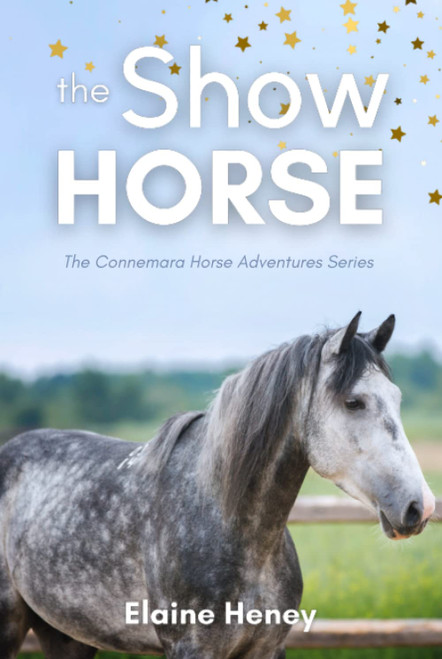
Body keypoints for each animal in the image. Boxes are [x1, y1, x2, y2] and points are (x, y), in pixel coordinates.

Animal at [0, 313, 435, 659]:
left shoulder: (267, 648)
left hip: (66, 634)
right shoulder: (191, 649)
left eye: (397, 398)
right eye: (353, 402)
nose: (421, 506)